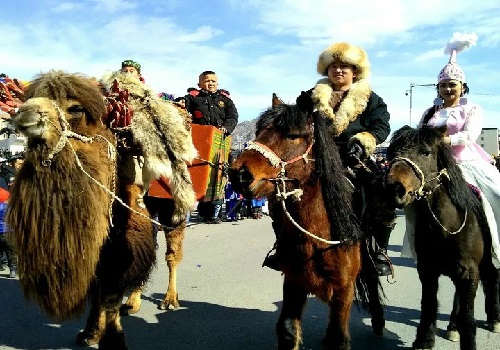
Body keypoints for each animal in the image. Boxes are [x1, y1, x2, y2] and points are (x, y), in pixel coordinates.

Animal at [8, 71, 195, 350]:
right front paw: (89, 332)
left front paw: (113, 338)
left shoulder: (119, 240)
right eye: (29, 97)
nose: (24, 114)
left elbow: (110, 292)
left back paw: (170, 300)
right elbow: (96, 289)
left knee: (172, 255)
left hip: (173, 210)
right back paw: (133, 302)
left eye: (75, 108)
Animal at [229, 93, 384, 350]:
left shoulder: (343, 290)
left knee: (372, 277)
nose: (239, 174)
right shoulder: (294, 281)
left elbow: (337, 338)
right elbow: (287, 331)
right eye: (259, 131)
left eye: (292, 135)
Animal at [384, 126, 498, 350]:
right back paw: (453, 326)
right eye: (391, 153)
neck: (445, 227)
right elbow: (428, 305)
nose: (393, 189)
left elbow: (469, 317)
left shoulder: (469, 272)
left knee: (492, 279)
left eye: (426, 152)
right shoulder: (427, 269)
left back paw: (494, 319)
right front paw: (424, 341)